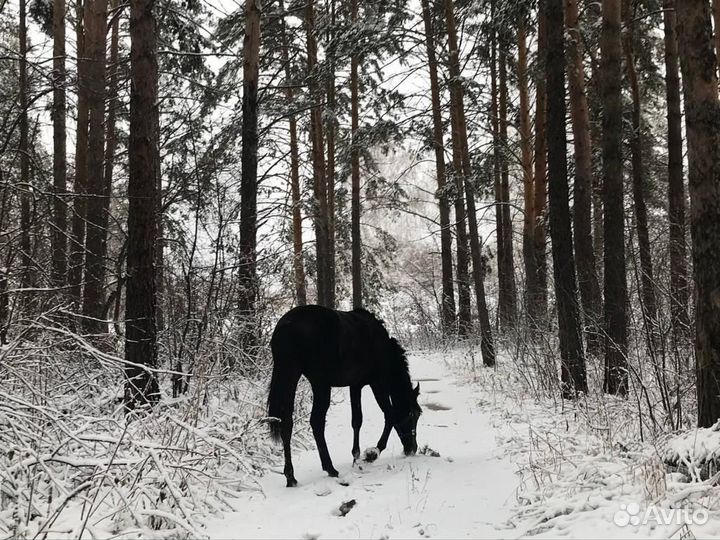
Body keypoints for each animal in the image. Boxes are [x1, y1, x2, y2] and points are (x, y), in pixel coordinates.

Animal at [267, 304, 422, 487]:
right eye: (414, 414)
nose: (412, 449)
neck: (383, 348)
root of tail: (287, 325)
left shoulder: (355, 386)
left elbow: (357, 421)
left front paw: (356, 457)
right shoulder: (377, 383)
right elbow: (389, 415)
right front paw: (373, 453)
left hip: (291, 376)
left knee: (287, 424)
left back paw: (290, 476)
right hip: (320, 384)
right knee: (316, 421)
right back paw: (330, 468)